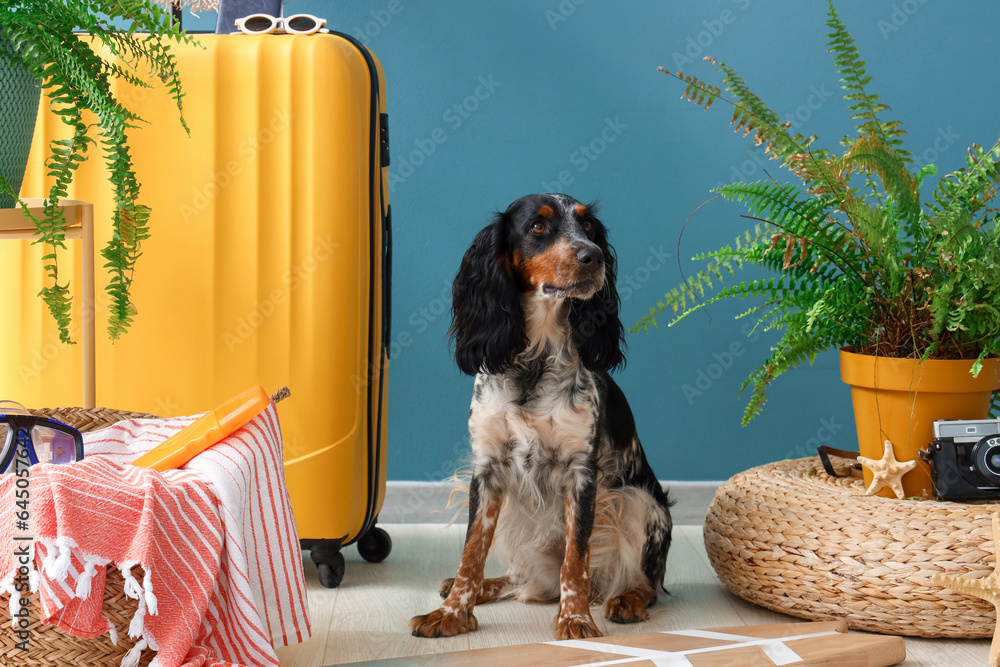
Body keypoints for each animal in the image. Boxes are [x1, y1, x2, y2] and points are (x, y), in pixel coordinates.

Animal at [410, 193, 676, 640]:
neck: (535, 361)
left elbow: (576, 559)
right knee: (520, 579)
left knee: (647, 584)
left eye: (588, 228)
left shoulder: (581, 473)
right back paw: (482, 587)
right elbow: (471, 552)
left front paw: (576, 618)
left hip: (638, 502)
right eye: (538, 226)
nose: (593, 256)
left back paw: (626, 599)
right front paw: (451, 612)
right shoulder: (487, 469)